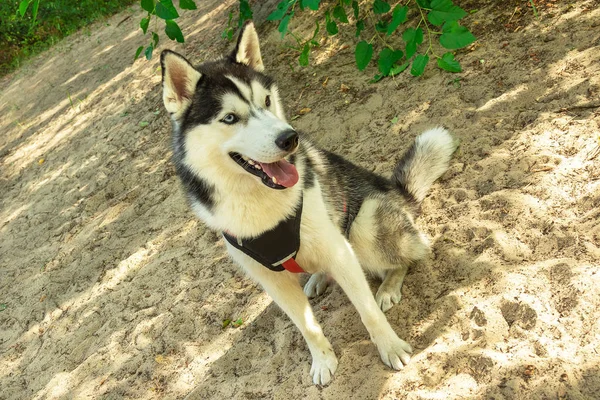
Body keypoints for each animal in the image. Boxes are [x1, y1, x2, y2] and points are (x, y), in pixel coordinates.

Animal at [162, 21, 458, 384]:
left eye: (267, 100)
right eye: (230, 118)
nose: (289, 138)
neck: (258, 203)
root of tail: (397, 190)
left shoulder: (339, 250)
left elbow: (368, 312)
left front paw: (390, 347)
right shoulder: (272, 280)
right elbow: (307, 326)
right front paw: (322, 361)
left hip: (364, 227)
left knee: (411, 253)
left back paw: (388, 285)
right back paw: (318, 278)